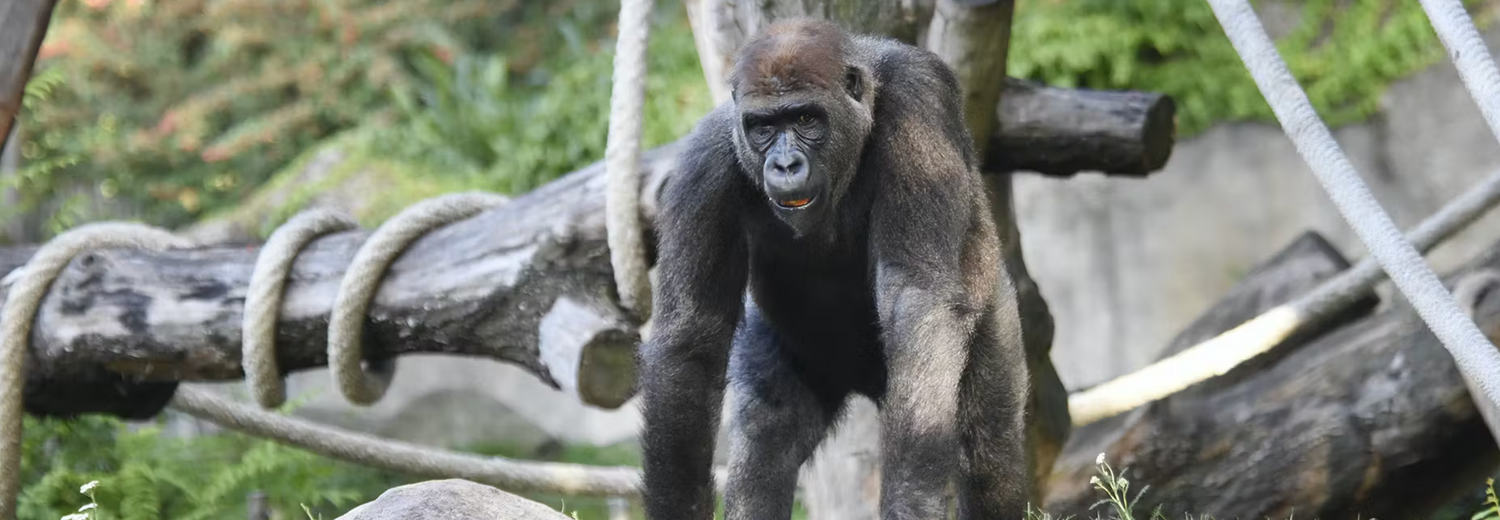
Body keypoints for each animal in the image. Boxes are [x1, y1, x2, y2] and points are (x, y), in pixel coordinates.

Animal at [636, 18, 1031, 520]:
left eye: (806, 120)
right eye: (764, 127)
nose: (785, 164)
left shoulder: (917, 100)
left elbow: (916, 300)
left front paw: (911, 501)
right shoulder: (705, 162)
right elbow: (689, 343)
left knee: (988, 454)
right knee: (767, 436)